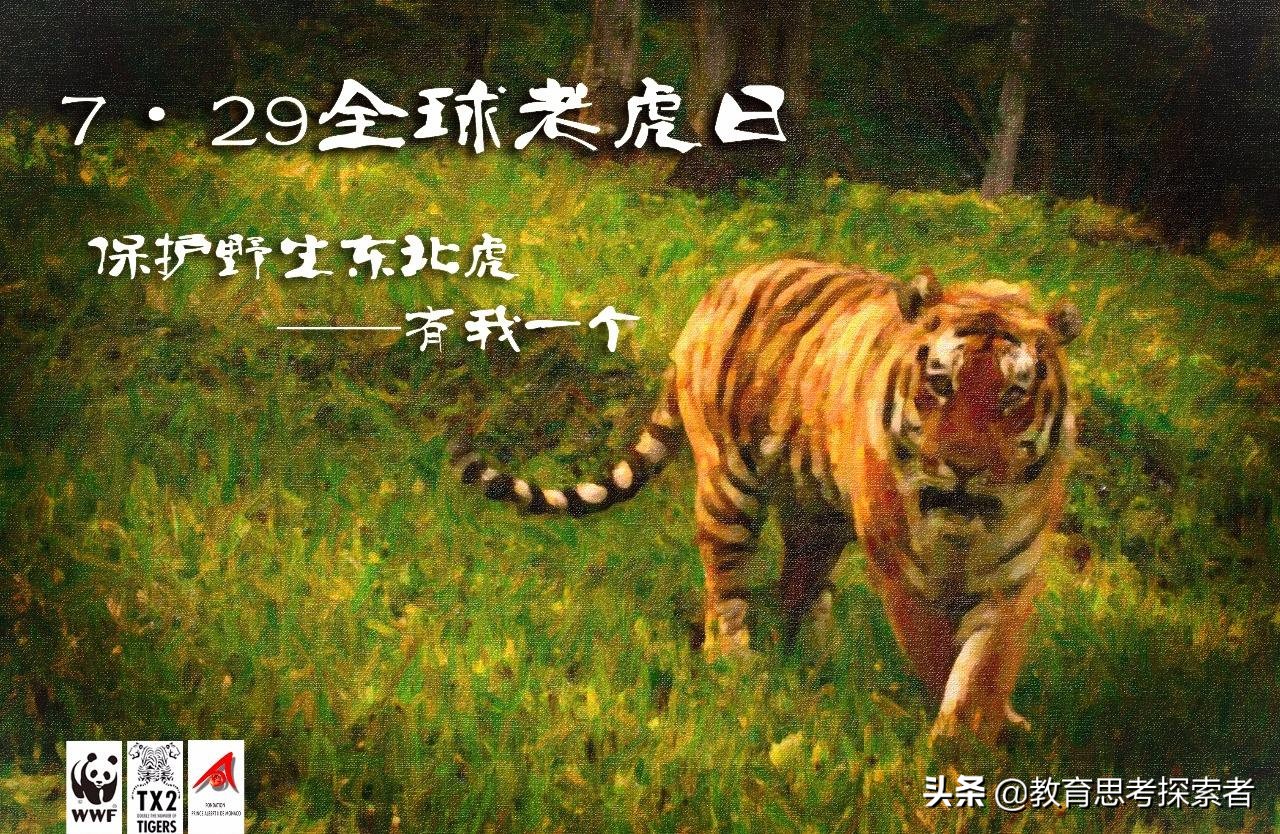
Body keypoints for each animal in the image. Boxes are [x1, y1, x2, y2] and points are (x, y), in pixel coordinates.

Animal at [455, 258, 1081, 742]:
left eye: (1012, 395)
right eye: (940, 384)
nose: (965, 469)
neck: (962, 526)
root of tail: (717, 290)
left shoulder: (1014, 576)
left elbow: (986, 665)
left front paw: (979, 738)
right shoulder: (900, 566)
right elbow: (932, 648)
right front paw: (956, 744)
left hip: (816, 514)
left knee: (801, 587)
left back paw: (813, 660)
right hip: (729, 492)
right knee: (728, 588)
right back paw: (739, 666)